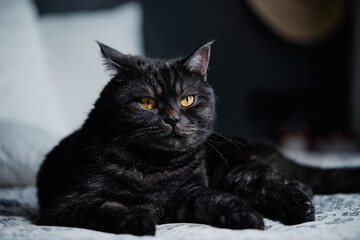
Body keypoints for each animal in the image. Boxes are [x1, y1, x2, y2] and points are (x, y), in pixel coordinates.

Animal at [37, 40, 360, 234]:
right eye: (148, 103)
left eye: (187, 99)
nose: (172, 118)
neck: (154, 167)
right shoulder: (67, 204)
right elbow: (106, 206)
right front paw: (139, 219)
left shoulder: (191, 192)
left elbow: (216, 200)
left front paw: (248, 218)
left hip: (235, 171)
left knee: (287, 183)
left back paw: (299, 208)